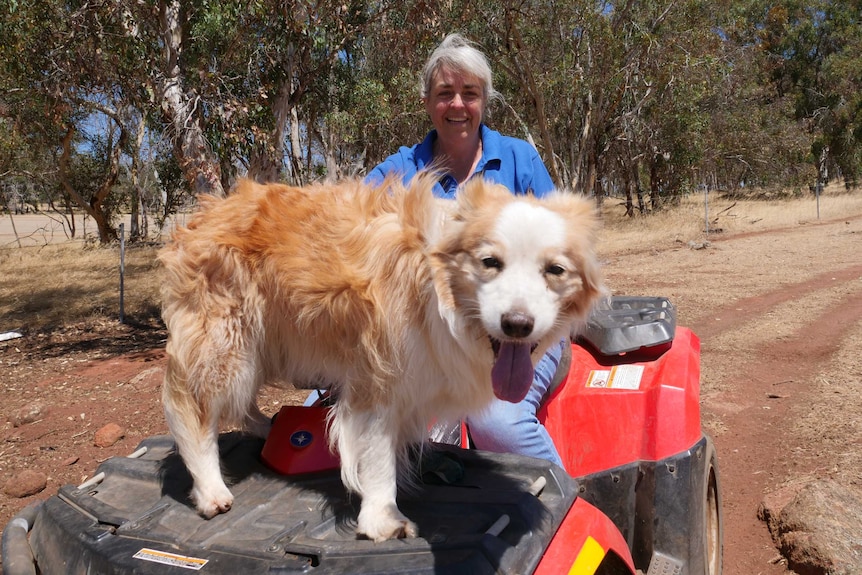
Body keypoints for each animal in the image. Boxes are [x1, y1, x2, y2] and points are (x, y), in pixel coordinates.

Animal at [159, 174, 604, 540]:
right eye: (490, 262)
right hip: (225, 344)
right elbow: (377, 458)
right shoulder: (375, 379)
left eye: (555, 270)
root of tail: (205, 213)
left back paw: (268, 429)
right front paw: (382, 518)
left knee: (240, 403)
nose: (516, 325)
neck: (437, 291)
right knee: (190, 410)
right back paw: (211, 489)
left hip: (263, 343)